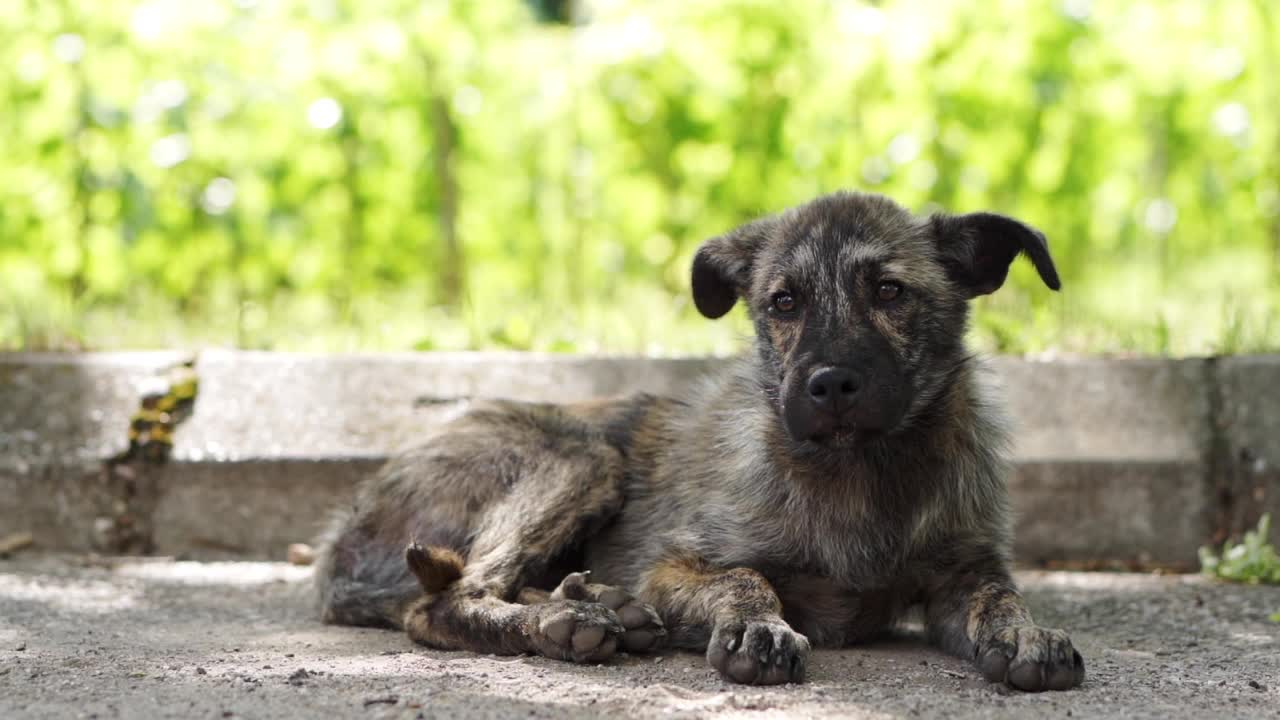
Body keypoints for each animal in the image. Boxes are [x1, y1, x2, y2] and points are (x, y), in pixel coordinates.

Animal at [314, 189, 1085, 691]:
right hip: (582, 457)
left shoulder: (966, 573)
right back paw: (565, 623)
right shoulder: (672, 565)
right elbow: (744, 578)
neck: (859, 476)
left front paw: (1028, 633)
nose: (829, 384)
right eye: (783, 302)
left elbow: (1001, 599)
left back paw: (602, 607)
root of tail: (339, 541)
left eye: (891, 292)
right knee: (445, 599)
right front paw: (756, 627)